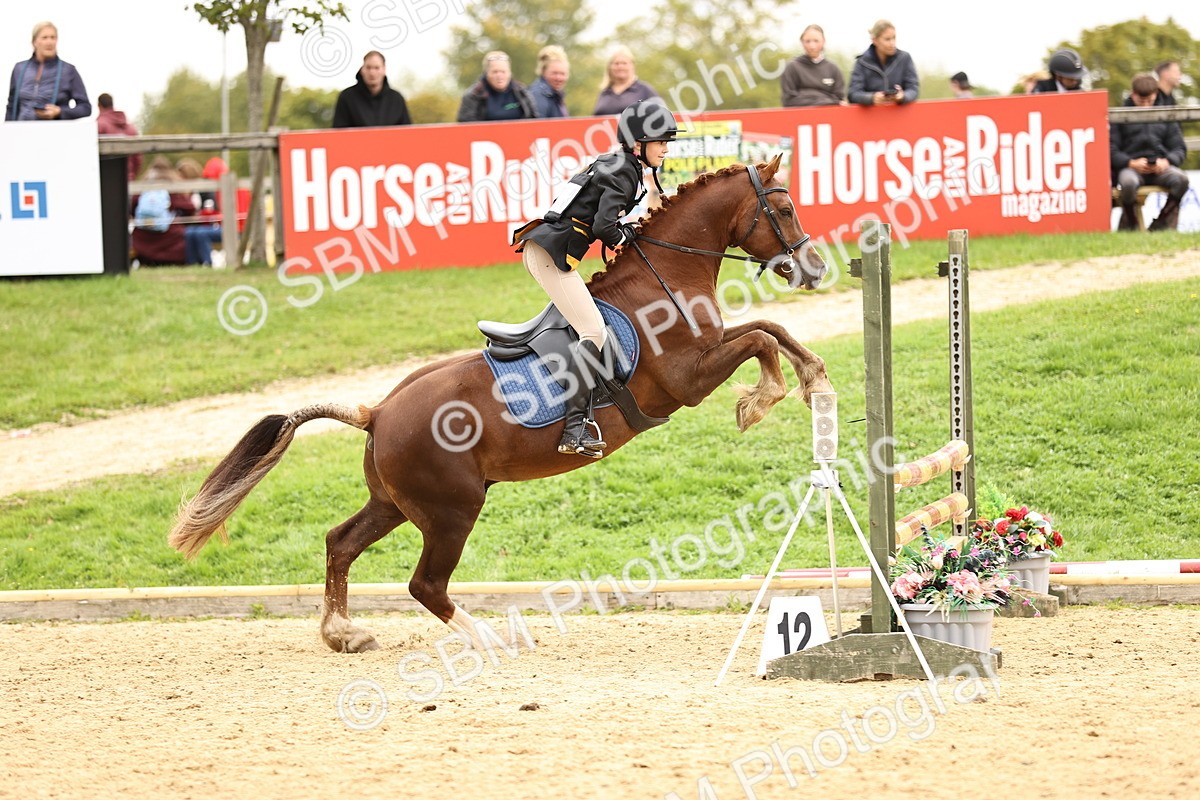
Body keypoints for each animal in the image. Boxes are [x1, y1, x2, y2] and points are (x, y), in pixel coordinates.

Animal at [168, 154, 835, 653]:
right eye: (783, 208)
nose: (814, 269)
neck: (665, 278)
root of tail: (378, 413)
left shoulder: (703, 357)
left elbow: (769, 327)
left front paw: (814, 380)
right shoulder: (686, 380)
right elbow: (758, 340)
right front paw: (763, 400)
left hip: (396, 503)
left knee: (340, 542)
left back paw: (344, 635)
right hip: (451, 511)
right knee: (425, 585)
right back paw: (491, 637)